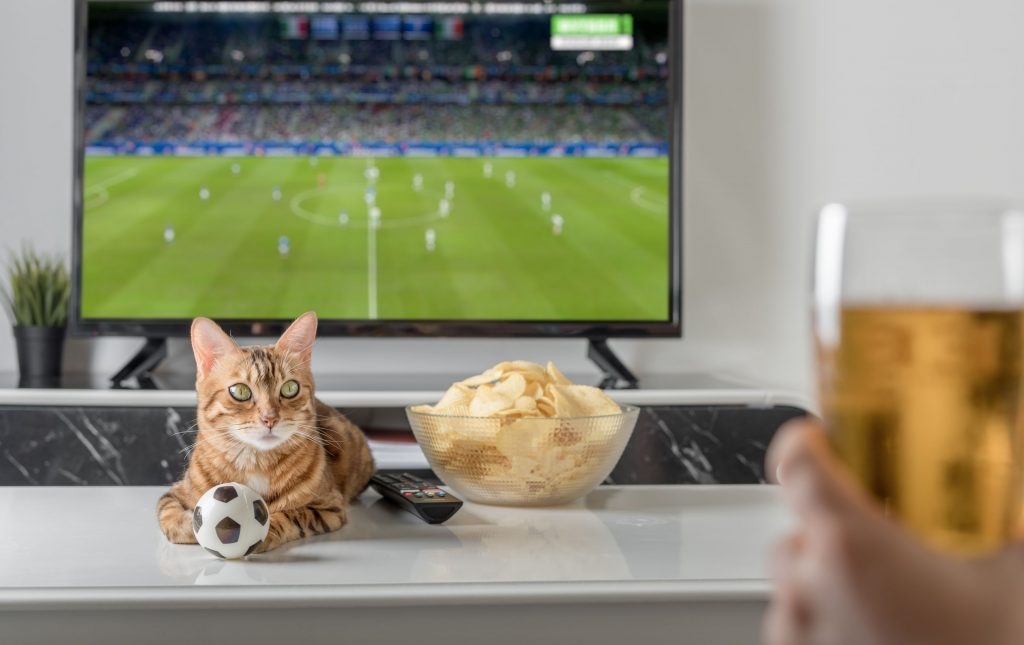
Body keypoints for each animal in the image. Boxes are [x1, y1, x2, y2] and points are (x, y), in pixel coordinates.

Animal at [161, 311, 378, 552]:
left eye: (290, 388)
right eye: (240, 391)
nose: (270, 418)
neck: (256, 460)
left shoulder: (330, 507)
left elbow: (292, 514)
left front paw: (265, 530)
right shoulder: (174, 492)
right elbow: (169, 514)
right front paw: (191, 525)